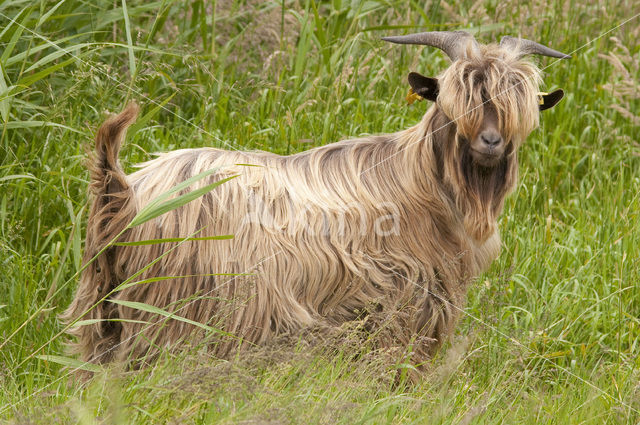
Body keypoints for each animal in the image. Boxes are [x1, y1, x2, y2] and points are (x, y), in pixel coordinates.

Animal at [62, 31, 568, 366]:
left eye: (518, 106)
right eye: (451, 102)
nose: (490, 142)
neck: (420, 184)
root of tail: (125, 193)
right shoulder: (402, 309)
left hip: (100, 305)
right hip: (179, 314)